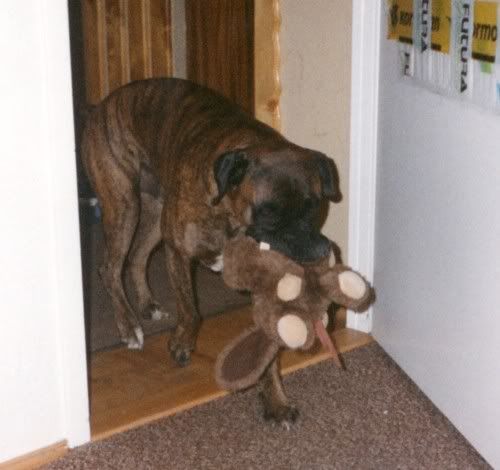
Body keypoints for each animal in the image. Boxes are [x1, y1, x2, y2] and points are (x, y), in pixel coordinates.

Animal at [82, 77, 341, 423]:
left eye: (313, 208)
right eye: (269, 213)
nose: (314, 248)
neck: (229, 211)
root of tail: (102, 105)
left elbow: (266, 351)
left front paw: (275, 399)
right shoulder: (178, 252)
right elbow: (191, 311)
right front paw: (181, 343)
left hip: (154, 210)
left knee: (136, 258)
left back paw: (148, 305)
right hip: (124, 204)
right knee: (109, 267)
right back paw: (129, 326)